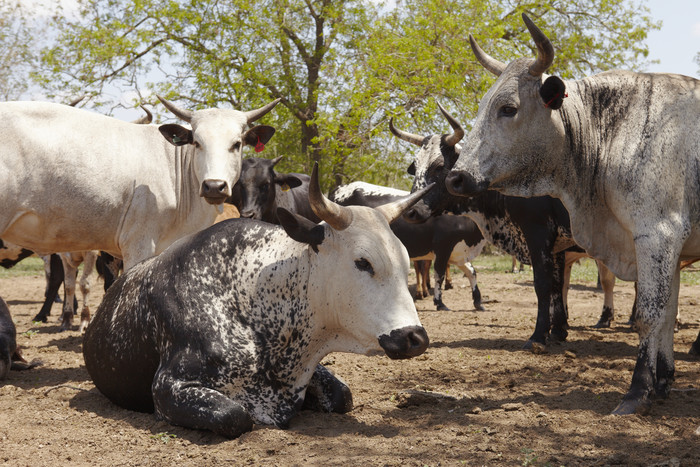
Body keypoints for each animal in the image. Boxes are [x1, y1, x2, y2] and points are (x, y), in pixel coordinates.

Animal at [82, 166, 432, 440]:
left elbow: (343, 395)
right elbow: (236, 416)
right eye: (362, 262)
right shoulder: (169, 386)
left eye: (405, 259)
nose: (415, 336)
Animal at [330, 182, 484, 310]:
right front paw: (439, 303)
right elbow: (439, 275)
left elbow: (471, 272)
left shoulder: (458, 252)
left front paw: (478, 302)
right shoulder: (443, 248)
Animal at [394, 103, 616, 352]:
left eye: (439, 166)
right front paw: (558, 331)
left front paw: (538, 336)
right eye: (415, 167)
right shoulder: (557, 245)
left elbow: (543, 285)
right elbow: (558, 286)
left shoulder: (537, 234)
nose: (411, 212)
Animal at [446, 12, 700, 416]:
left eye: (508, 108)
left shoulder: (657, 236)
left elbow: (649, 316)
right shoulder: (669, 249)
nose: (457, 177)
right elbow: (666, 317)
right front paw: (662, 384)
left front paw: (637, 391)